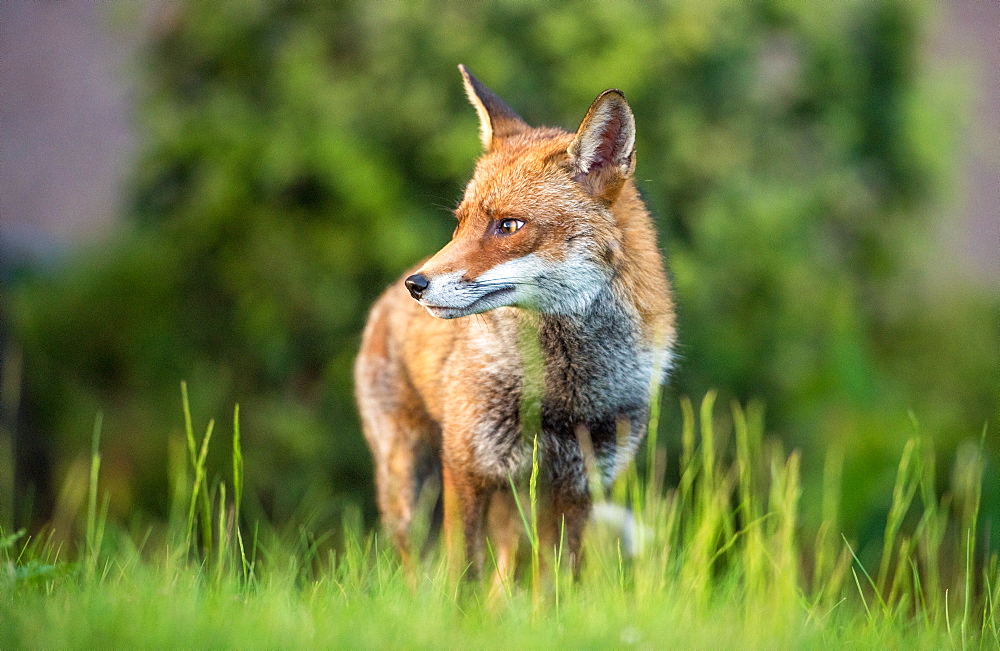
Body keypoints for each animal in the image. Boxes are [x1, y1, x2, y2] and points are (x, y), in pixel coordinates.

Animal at [356, 63, 676, 580]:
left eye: (509, 225)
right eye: (460, 222)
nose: (416, 284)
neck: (561, 394)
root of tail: (382, 303)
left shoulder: (577, 489)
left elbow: (553, 587)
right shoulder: (467, 469)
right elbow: (461, 579)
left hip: (515, 510)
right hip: (411, 492)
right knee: (419, 574)